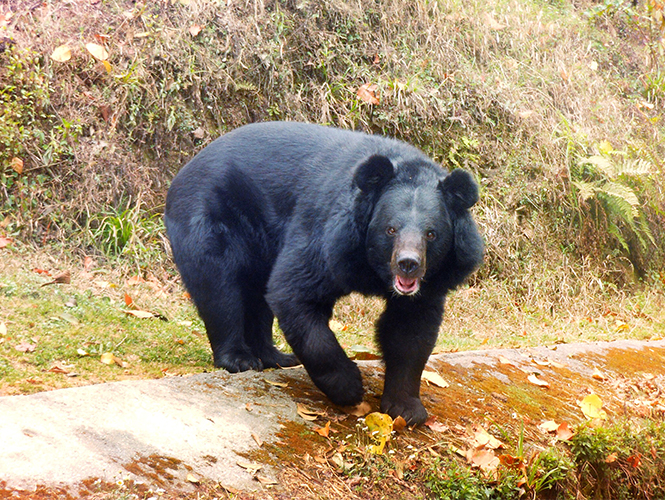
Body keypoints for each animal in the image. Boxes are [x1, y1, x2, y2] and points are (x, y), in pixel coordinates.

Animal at [163, 122, 480, 426]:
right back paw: (240, 359)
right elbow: (295, 294)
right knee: (220, 289)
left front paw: (406, 410)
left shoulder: (431, 283)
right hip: (208, 218)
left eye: (431, 234)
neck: (374, 268)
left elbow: (410, 330)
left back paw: (277, 357)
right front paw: (350, 387)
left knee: (256, 295)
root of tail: (183, 172)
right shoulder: (328, 237)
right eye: (390, 229)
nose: (408, 264)